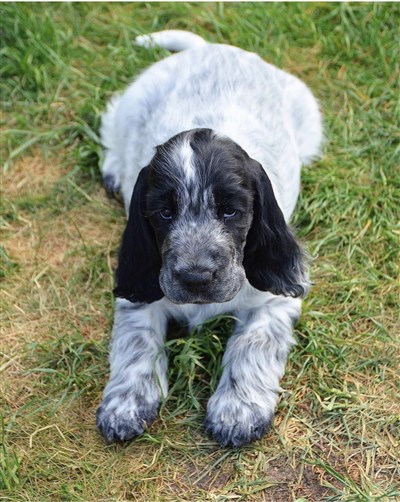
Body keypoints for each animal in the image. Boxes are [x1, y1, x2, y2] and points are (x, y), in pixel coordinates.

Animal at [96, 30, 323, 447]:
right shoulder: (140, 292)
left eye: (230, 211)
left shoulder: (274, 301)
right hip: (133, 105)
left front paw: (237, 411)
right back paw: (114, 172)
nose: (196, 278)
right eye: (164, 212)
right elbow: (137, 344)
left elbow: (253, 345)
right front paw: (125, 405)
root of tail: (211, 48)